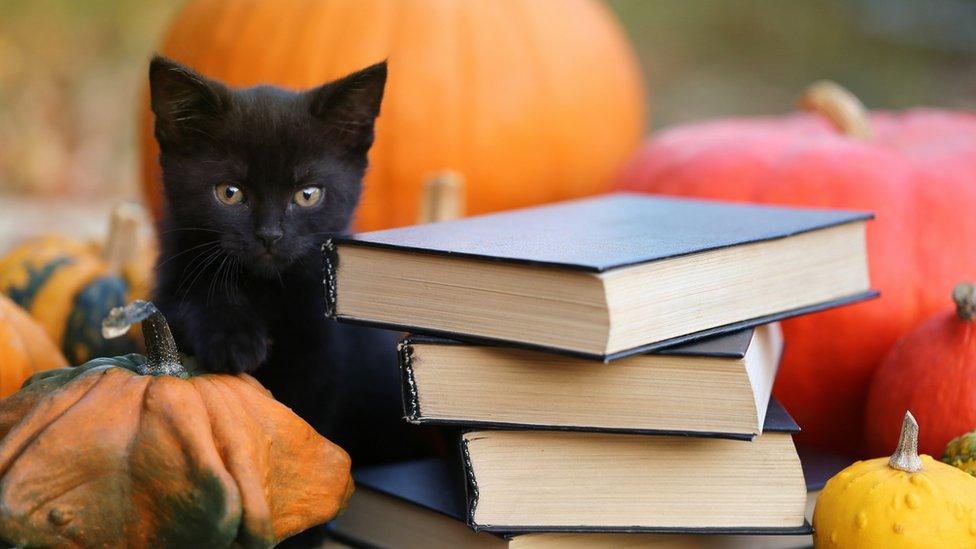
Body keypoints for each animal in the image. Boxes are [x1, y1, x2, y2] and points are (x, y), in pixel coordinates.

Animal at [147, 56, 432, 470]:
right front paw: (232, 339)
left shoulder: (321, 353)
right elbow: (194, 301)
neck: (265, 291)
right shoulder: (171, 285)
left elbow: (304, 419)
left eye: (307, 194)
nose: (270, 235)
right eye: (230, 193)